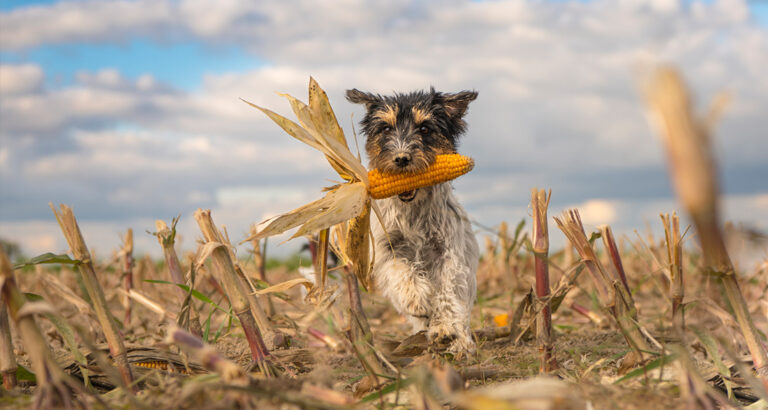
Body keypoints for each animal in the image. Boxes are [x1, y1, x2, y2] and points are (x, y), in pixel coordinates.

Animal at [348, 87, 480, 356]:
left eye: (425, 128)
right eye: (386, 128)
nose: (401, 158)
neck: (412, 210)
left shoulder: (448, 254)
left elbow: (447, 292)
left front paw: (444, 327)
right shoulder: (389, 248)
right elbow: (402, 271)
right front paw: (417, 300)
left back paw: (460, 342)